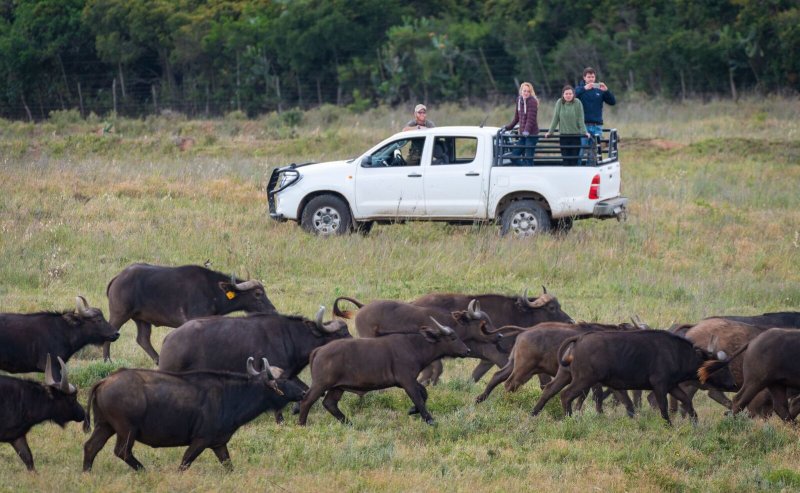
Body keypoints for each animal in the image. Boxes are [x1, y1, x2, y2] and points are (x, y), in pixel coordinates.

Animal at [82, 358, 304, 468]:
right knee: (122, 452)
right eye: (287, 378)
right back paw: (143, 471)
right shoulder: (200, 441)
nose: (304, 391)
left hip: (105, 426)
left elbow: (229, 467)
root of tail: (105, 380)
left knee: (91, 447)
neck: (231, 395)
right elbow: (184, 463)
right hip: (126, 431)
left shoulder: (219, 444)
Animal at [106, 264, 276, 364]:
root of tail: (117, 278)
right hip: (120, 314)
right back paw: (107, 361)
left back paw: (159, 360)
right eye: (258, 294)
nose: (273, 310)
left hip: (142, 319)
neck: (212, 290)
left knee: (143, 339)